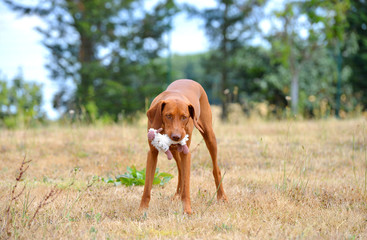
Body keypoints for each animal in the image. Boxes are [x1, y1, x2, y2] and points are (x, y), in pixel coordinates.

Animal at [139, 79, 229, 214]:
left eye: (184, 117)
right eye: (168, 115)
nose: (176, 137)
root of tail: (190, 80)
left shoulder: (186, 153)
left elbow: (187, 186)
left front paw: (187, 210)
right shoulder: (152, 153)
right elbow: (147, 186)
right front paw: (142, 209)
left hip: (209, 136)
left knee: (215, 169)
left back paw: (221, 197)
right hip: (174, 150)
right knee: (180, 172)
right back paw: (177, 195)